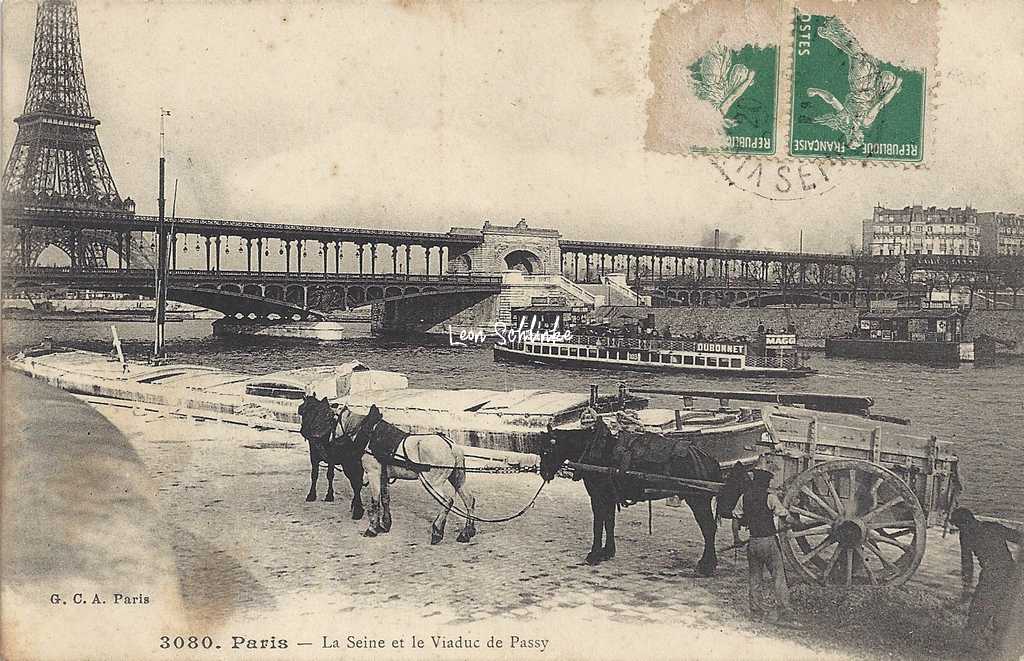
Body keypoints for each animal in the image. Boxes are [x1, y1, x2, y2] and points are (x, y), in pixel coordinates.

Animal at [299, 392, 366, 523]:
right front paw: (318, 495)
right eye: (302, 411)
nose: (303, 431)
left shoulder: (323, 457)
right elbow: (321, 475)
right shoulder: (322, 457)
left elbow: (323, 475)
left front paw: (323, 495)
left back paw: (357, 508)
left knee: (357, 481)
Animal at [335, 407, 479, 548]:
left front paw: (372, 529)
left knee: (447, 501)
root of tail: (451, 445)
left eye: (332, 421)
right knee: (469, 499)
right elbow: (385, 499)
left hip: (432, 483)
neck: (369, 435)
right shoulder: (384, 476)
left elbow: (375, 502)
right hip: (457, 479)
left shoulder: (373, 474)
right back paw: (466, 533)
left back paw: (437, 532)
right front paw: (385, 525)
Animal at [540, 417, 724, 577]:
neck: (596, 450)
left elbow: (598, 525)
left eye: (546, 452)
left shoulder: (598, 496)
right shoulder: (609, 497)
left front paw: (594, 554)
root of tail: (706, 458)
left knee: (709, 528)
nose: (543, 473)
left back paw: (706, 565)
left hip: (698, 501)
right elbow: (609, 523)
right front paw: (608, 552)